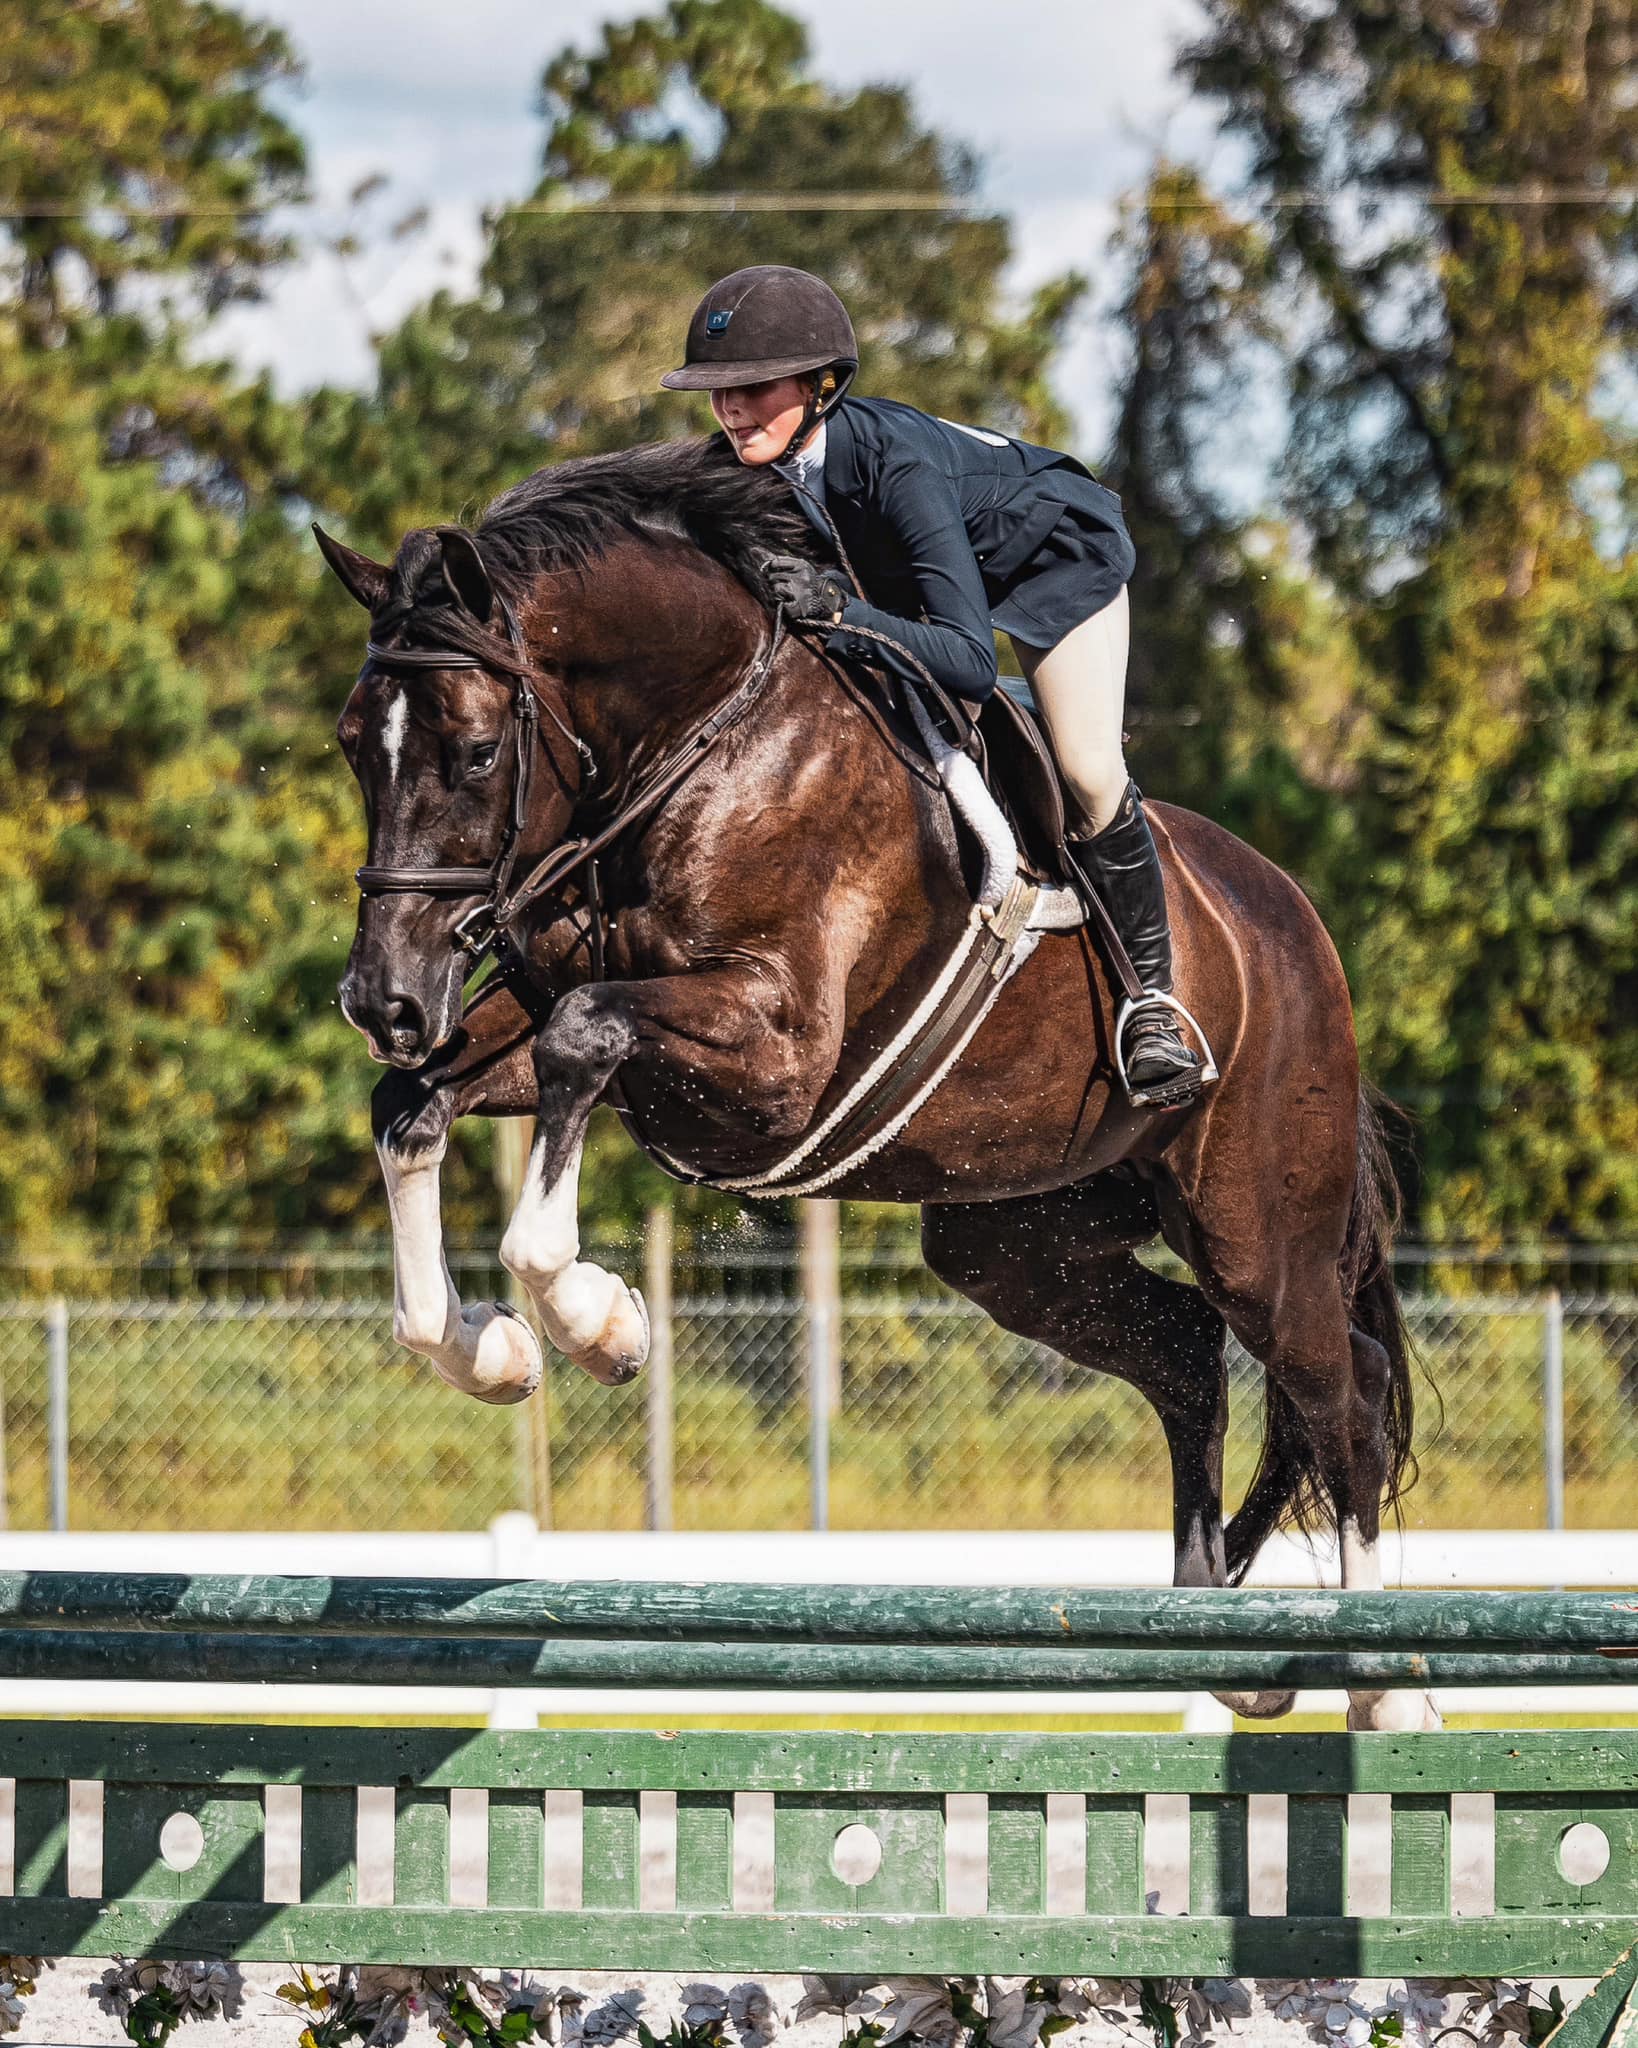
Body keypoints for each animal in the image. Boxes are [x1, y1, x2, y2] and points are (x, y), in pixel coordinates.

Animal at [318, 433, 1430, 1731]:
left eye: (479, 749)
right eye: (352, 741)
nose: (383, 1001)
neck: (699, 743)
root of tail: (1299, 927)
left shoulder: (774, 1060)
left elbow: (579, 1050)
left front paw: (602, 1323)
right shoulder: (558, 1009)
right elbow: (414, 1110)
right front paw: (490, 1349)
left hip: (1258, 1227)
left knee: (1340, 1389)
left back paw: (1386, 1691)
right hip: (1018, 1240)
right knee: (1189, 1352)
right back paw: (1211, 1632)